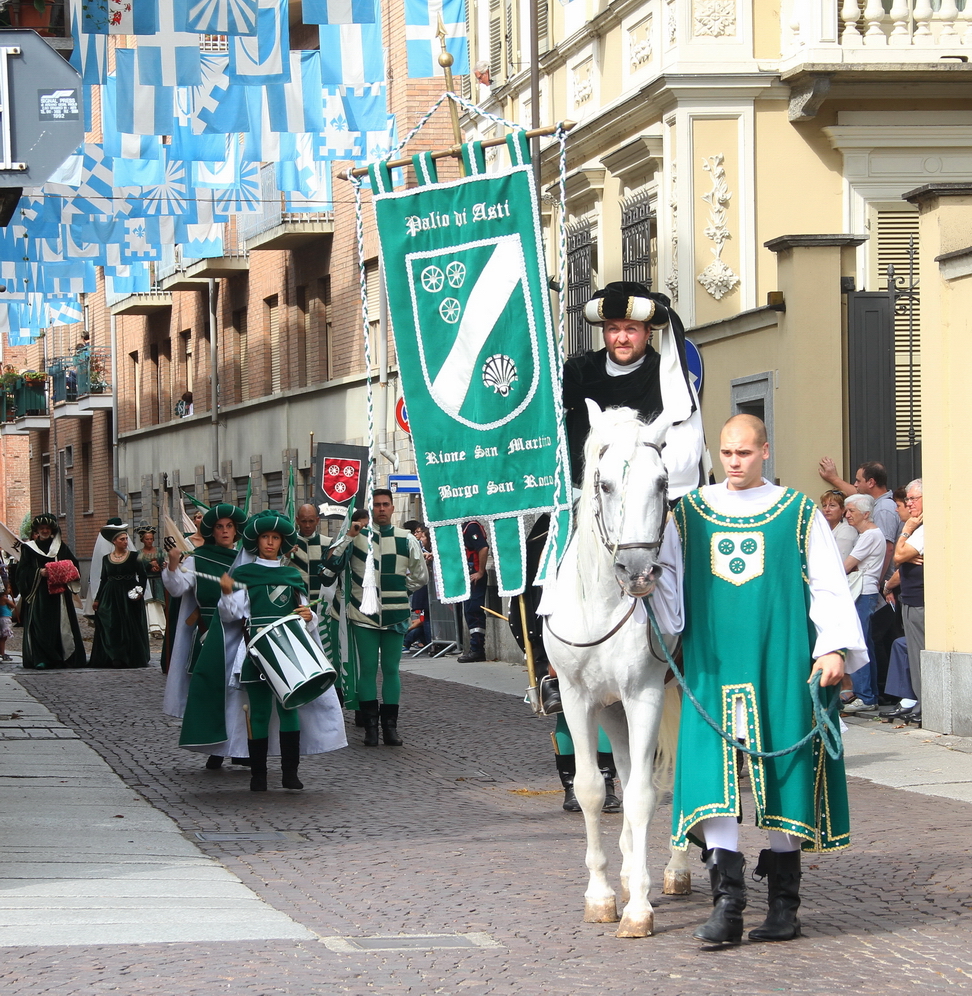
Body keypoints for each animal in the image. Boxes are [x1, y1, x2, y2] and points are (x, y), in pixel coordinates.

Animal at [544, 400, 688, 936]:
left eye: (663, 482)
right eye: (604, 484)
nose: (639, 572)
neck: (605, 603)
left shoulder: (644, 694)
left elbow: (646, 793)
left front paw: (640, 908)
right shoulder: (578, 698)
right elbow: (591, 789)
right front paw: (603, 894)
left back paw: (674, 869)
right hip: (611, 708)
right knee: (624, 772)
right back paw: (629, 870)